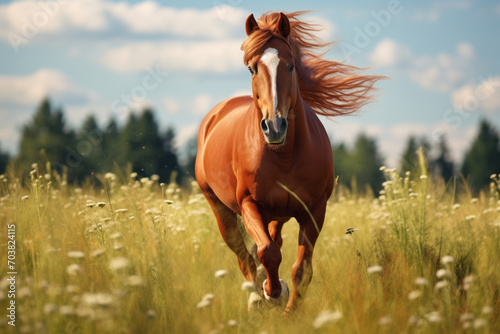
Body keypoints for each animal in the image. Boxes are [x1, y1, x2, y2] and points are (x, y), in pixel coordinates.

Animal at [195, 11, 382, 314]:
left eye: (291, 66)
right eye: (251, 69)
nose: (274, 126)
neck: (284, 155)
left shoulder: (315, 210)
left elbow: (301, 269)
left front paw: (290, 311)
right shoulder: (249, 204)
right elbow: (267, 252)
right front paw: (273, 292)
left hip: (277, 214)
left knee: (270, 243)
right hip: (220, 207)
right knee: (244, 255)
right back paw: (257, 297)